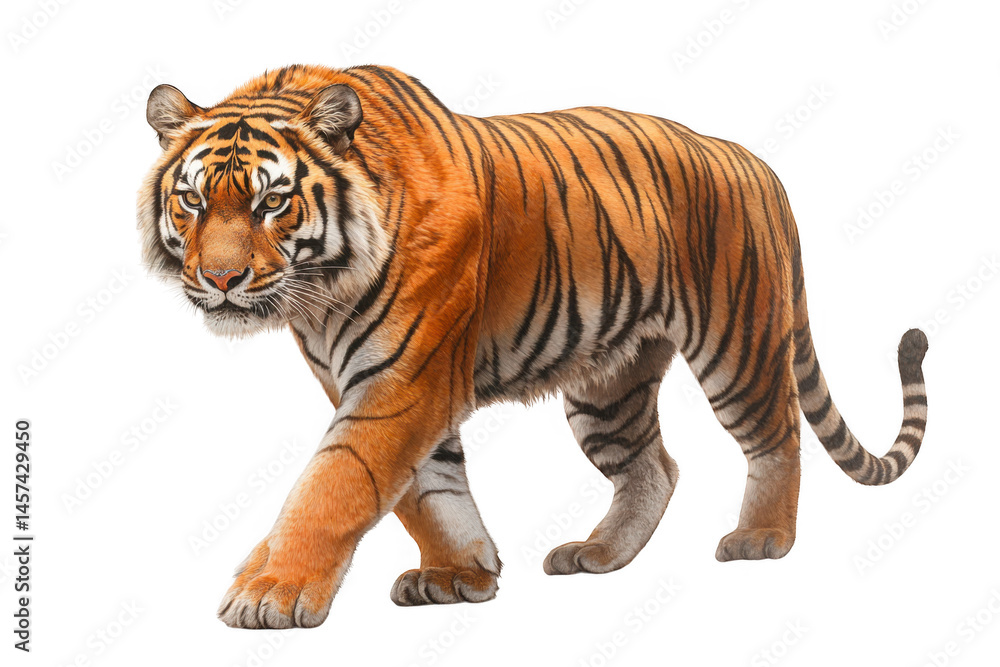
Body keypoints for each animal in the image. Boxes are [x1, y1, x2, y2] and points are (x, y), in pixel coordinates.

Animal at [137, 64, 929, 629]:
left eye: (272, 201)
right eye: (193, 200)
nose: (222, 279)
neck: (322, 289)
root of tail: (754, 162)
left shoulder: (401, 381)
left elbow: (335, 481)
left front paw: (270, 591)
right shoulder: (380, 380)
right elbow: (429, 486)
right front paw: (461, 574)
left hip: (737, 341)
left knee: (777, 435)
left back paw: (761, 536)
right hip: (608, 381)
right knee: (654, 467)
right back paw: (598, 553)